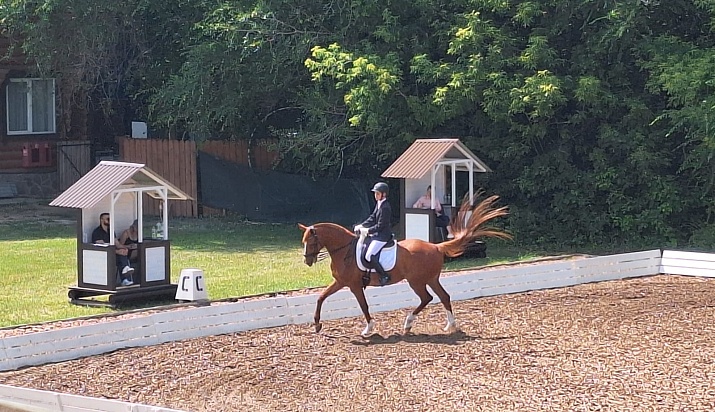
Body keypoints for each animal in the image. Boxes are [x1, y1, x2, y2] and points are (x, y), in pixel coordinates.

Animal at [300, 195, 512, 336]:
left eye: (311, 242)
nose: (307, 261)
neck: (345, 251)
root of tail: (436, 246)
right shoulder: (340, 282)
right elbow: (320, 297)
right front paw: (317, 325)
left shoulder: (354, 285)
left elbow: (364, 306)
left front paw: (368, 329)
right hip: (431, 279)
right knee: (444, 297)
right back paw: (449, 326)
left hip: (416, 281)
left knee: (427, 298)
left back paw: (408, 323)